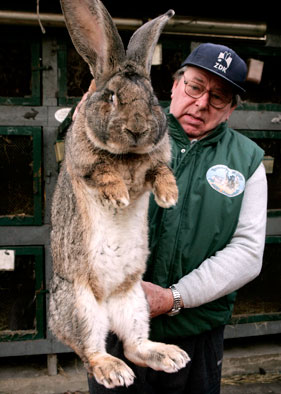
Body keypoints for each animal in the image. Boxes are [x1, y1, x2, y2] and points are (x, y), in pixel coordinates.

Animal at [49, 0, 189, 388]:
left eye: (154, 98)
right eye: (111, 97)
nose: (138, 129)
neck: (128, 155)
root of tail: (109, 302)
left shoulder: (153, 164)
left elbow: (159, 171)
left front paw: (168, 196)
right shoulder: (84, 164)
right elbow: (102, 172)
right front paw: (118, 197)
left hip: (135, 303)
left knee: (133, 345)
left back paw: (169, 355)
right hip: (82, 306)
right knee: (92, 352)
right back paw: (114, 371)